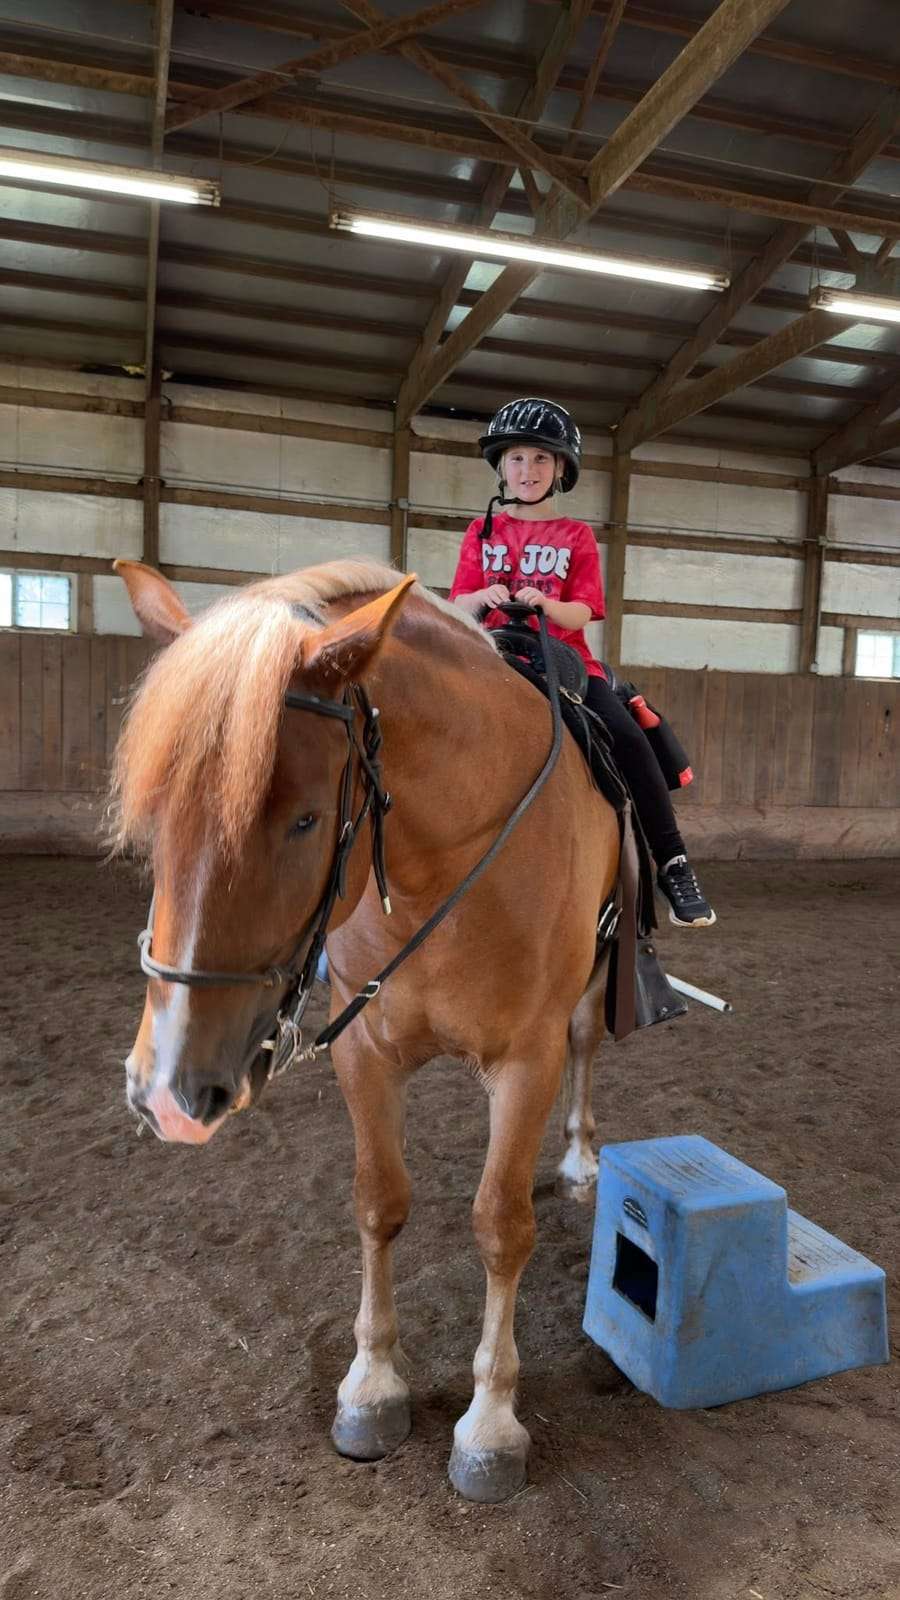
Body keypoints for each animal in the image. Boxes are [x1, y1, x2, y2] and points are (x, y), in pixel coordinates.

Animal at [112, 556, 618, 1503]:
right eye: (155, 817)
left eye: (306, 819)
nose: (167, 1095)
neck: (440, 863)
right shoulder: (364, 1051)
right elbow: (379, 1202)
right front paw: (373, 1387)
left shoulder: (525, 1060)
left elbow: (500, 1224)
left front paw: (491, 1426)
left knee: (585, 1043)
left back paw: (578, 1158)